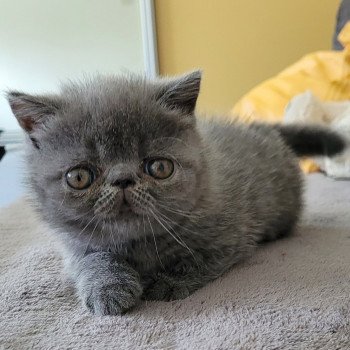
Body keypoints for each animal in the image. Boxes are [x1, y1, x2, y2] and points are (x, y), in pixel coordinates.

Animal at [6, 71, 346, 314]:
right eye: (79, 177)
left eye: (159, 167)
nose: (123, 179)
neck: (138, 243)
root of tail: (262, 128)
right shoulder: (76, 246)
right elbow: (94, 261)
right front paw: (108, 290)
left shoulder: (230, 235)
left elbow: (196, 259)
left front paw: (166, 283)